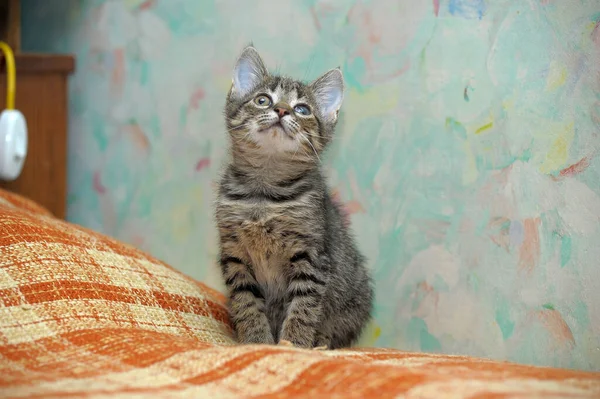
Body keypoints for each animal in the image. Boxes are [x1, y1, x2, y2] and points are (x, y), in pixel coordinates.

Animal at [216, 45, 372, 348]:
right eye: (263, 100)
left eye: (302, 109)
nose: (281, 110)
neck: (263, 194)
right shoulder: (234, 254)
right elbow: (245, 302)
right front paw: (255, 340)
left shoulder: (311, 256)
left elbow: (304, 306)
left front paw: (294, 344)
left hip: (355, 303)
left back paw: (321, 342)